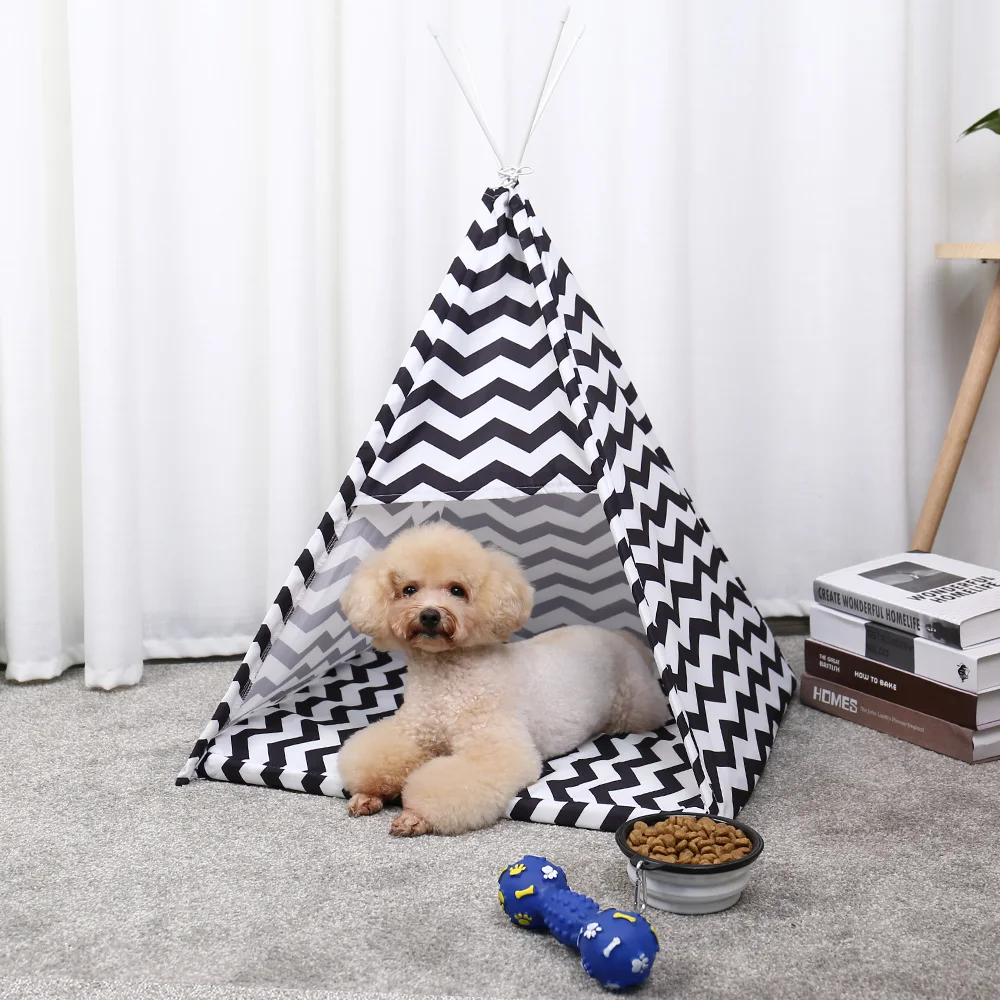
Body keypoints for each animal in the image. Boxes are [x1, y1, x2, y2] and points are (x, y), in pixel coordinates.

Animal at [336, 521, 670, 836]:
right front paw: (368, 794)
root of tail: (620, 636)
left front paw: (416, 815)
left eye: (457, 590)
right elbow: (378, 757)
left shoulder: (494, 748)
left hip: (635, 707)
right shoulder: (411, 732)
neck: (445, 680)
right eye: (408, 590)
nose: (430, 615)